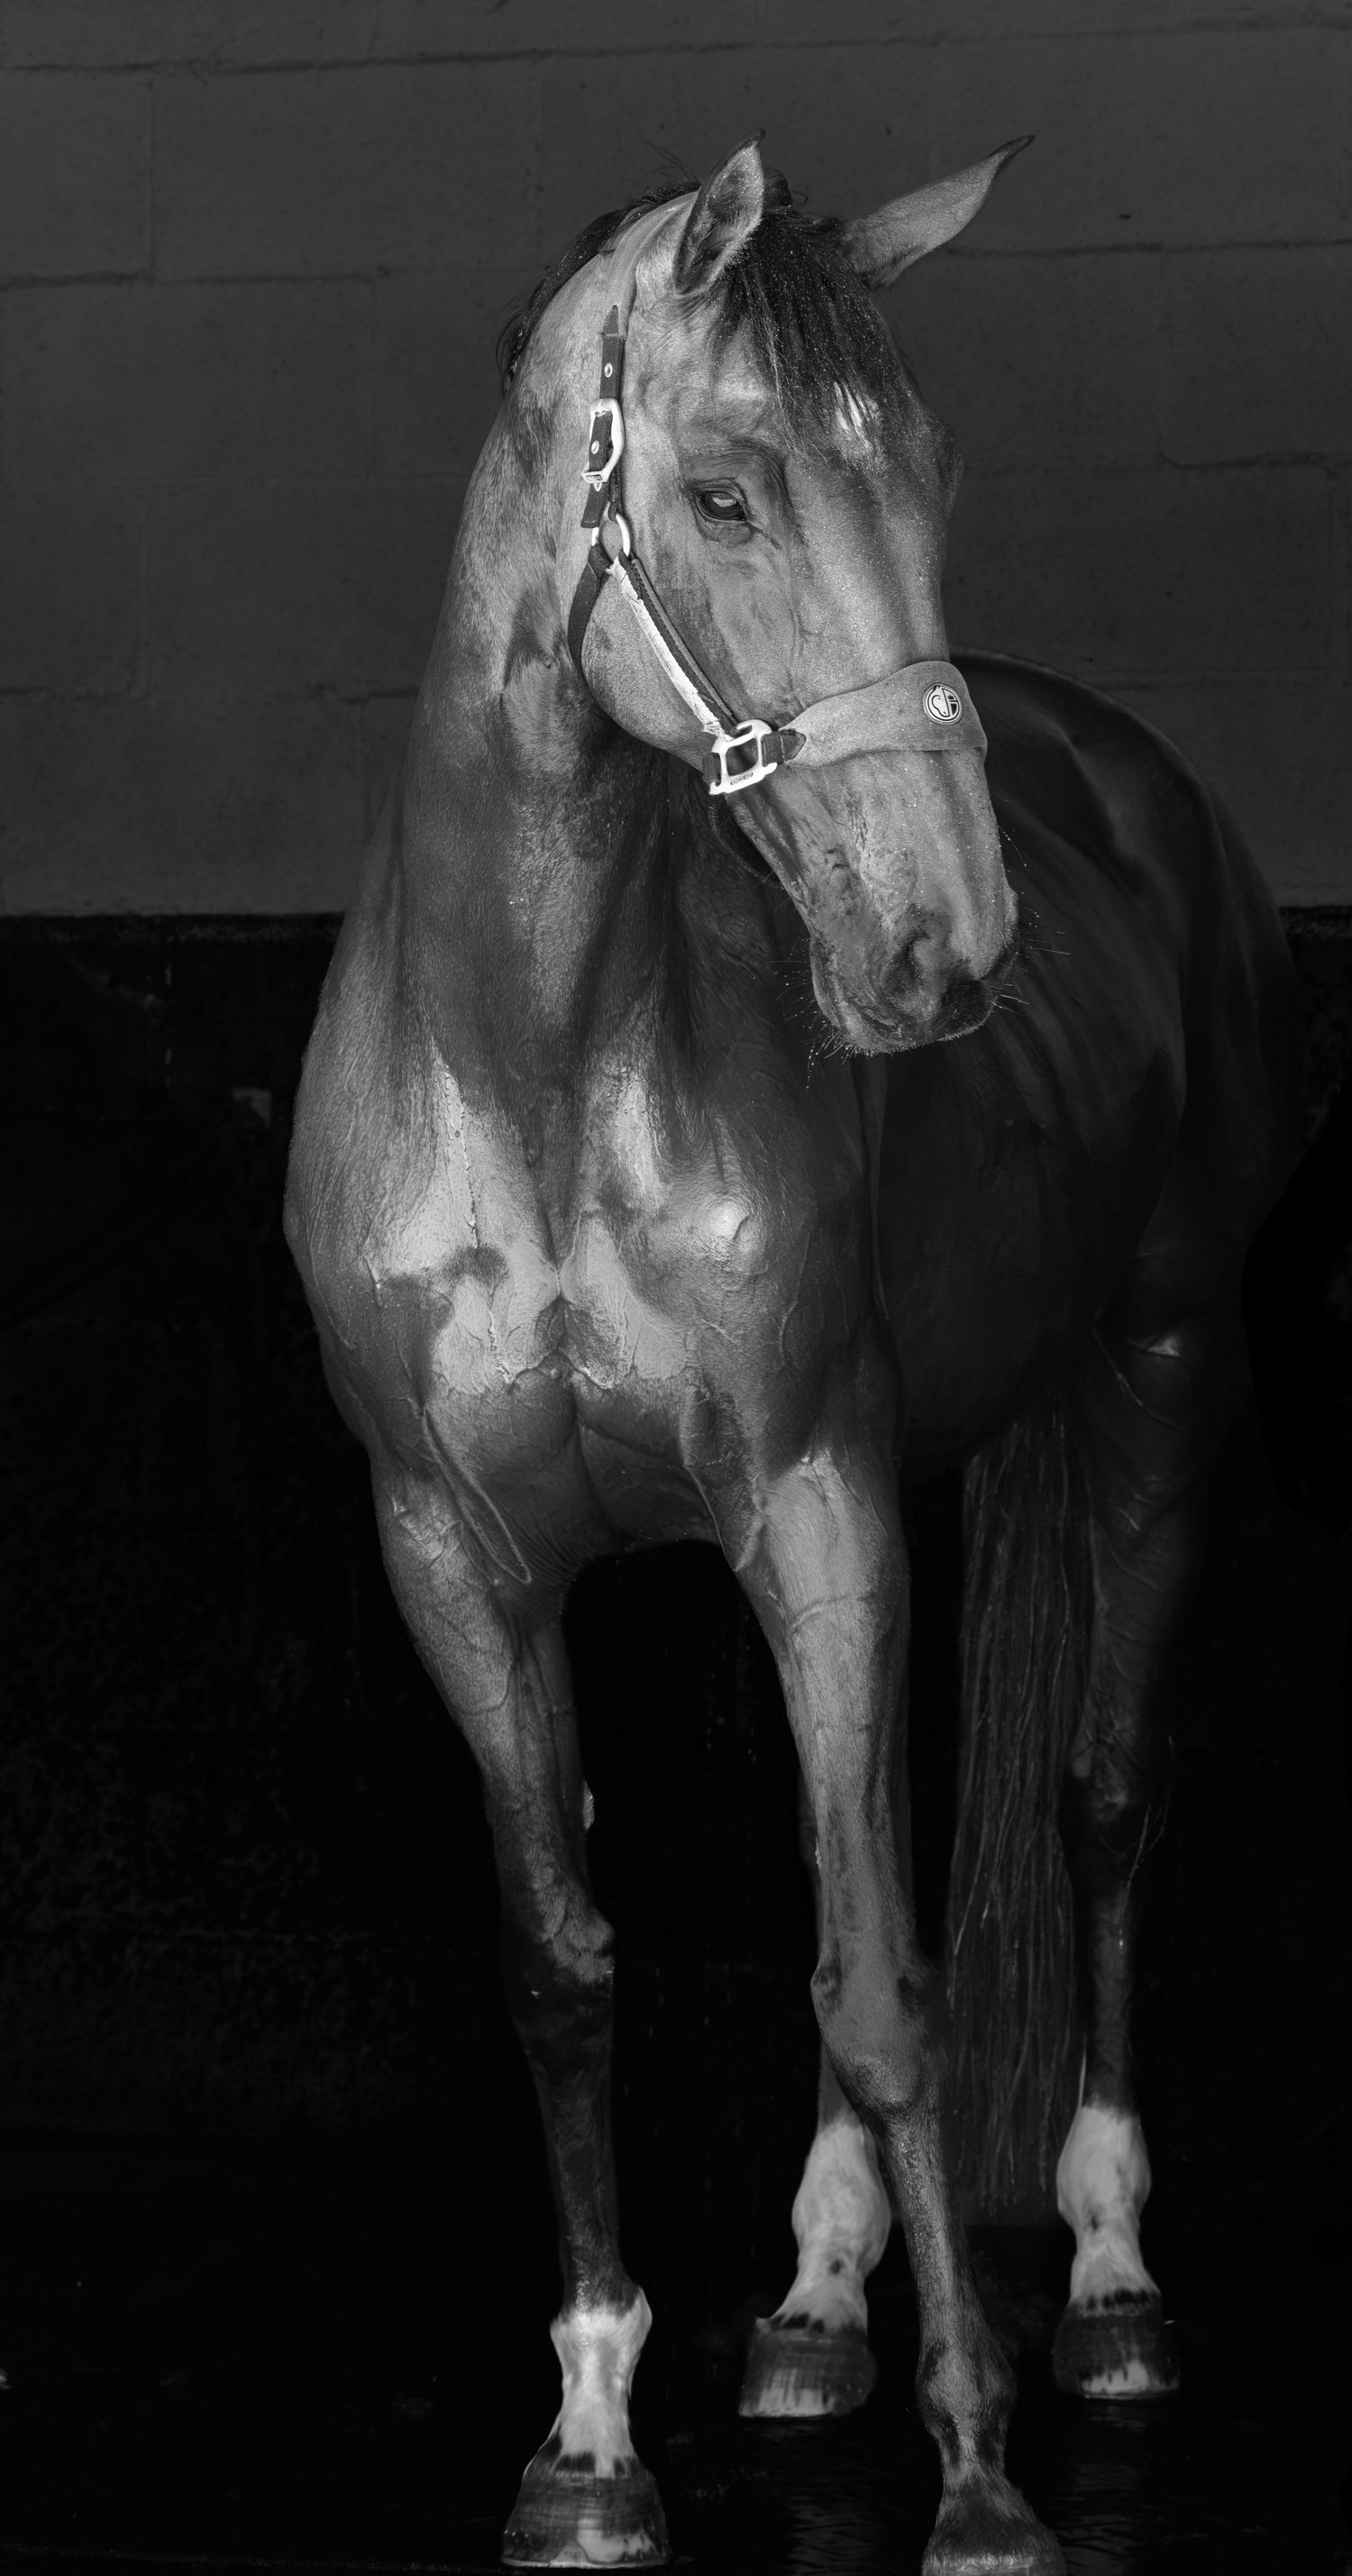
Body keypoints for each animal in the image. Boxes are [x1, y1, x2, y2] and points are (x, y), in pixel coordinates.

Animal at [284, 139, 1298, 2575]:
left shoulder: (817, 1501)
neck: (536, 1056)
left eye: (930, 473)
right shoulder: (456, 1561)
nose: (950, 947)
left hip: (1154, 1376)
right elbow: (572, 1963)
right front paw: (588, 2436)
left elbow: (884, 1983)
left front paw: (985, 2468)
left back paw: (1103, 2280)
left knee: (1094, 1800)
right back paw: (820, 2304)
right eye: (730, 494)